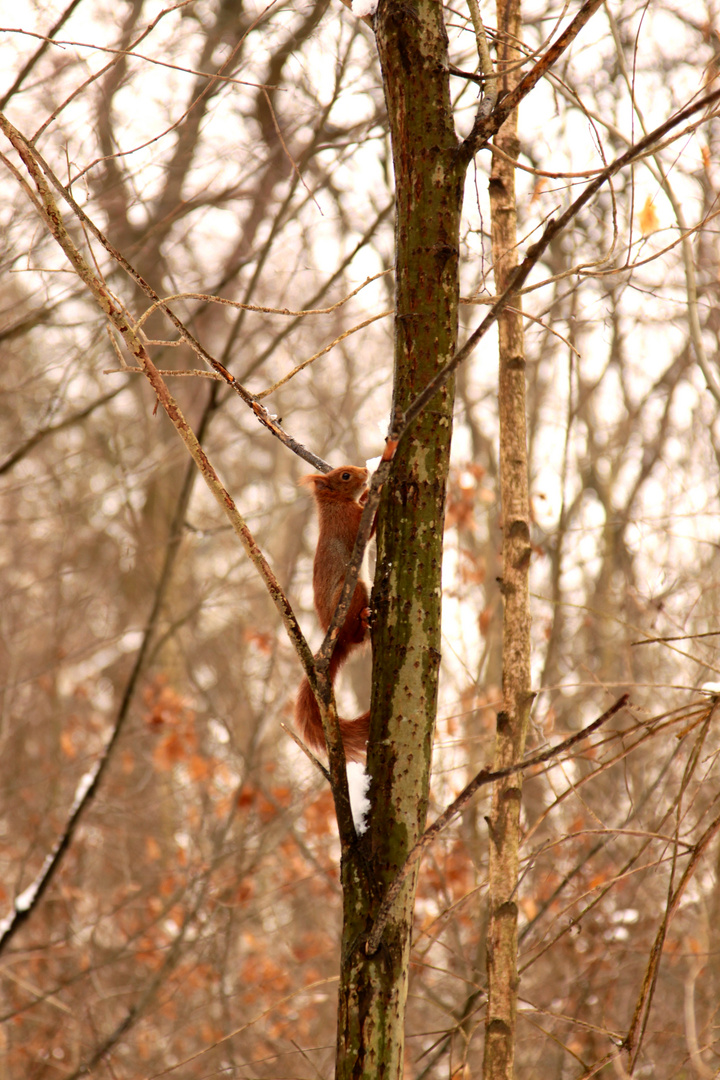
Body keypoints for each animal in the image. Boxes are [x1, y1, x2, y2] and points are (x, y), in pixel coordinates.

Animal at [293, 464, 371, 760]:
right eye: (345, 476)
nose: (365, 471)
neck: (335, 504)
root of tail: (338, 640)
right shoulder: (351, 523)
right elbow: (367, 529)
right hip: (354, 590)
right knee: (357, 635)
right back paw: (364, 620)